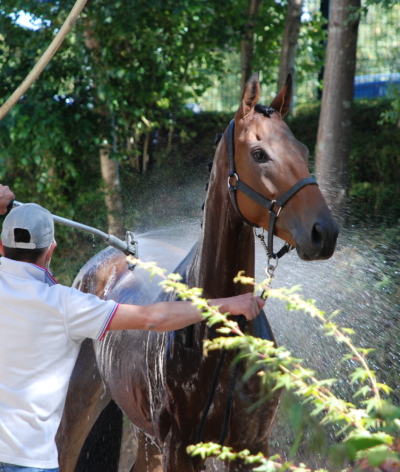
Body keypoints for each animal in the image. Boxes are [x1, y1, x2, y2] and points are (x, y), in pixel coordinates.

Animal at [55, 72, 338, 470]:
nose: (324, 232)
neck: (220, 333)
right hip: (78, 410)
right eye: (259, 154)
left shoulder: (252, 446)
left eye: (303, 151)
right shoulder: (180, 448)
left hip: (146, 436)